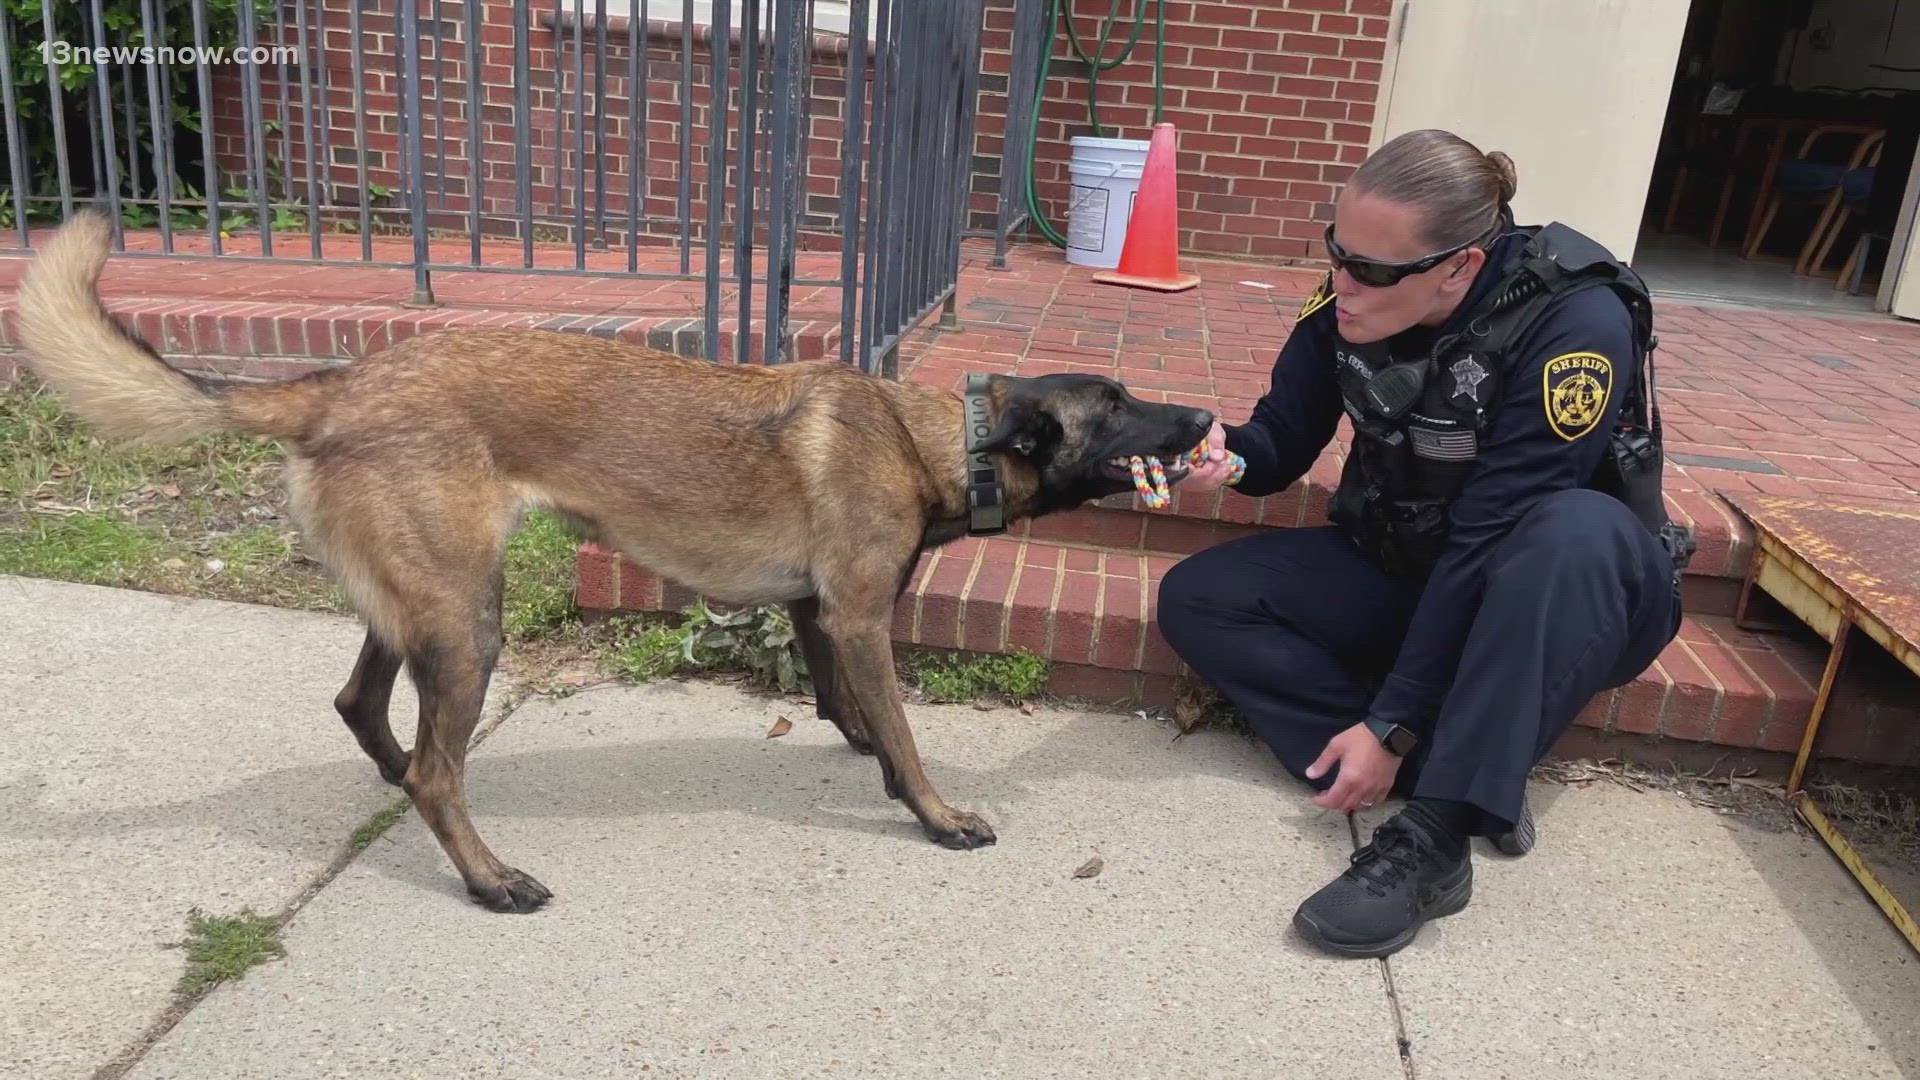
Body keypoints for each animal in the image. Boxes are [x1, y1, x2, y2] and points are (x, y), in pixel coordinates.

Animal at [18, 210, 1213, 907]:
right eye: (1116, 406)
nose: (1205, 415)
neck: (934, 436)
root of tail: (339, 384)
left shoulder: (821, 615)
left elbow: (849, 706)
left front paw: (871, 760)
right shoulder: (862, 617)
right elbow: (906, 731)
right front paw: (937, 814)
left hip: (421, 605)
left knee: (368, 712)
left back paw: (400, 787)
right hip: (468, 621)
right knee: (439, 769)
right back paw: (489, 878)